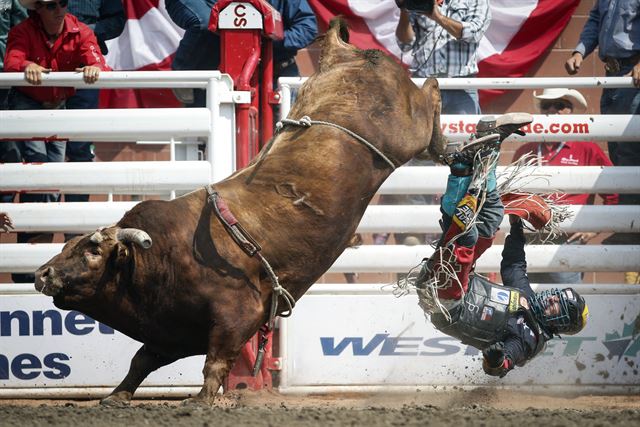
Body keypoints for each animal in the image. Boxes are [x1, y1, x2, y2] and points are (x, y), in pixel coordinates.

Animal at [35, 20, 444, 406]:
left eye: (93, 249)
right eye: (67, 245)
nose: (43, 273)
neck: (156, 258)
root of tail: (347, 55)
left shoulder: (237, 314)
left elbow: (215, 361)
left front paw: (202, 399)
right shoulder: (170, 333)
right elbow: (141, 360)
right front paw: (117, 395)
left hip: (408, 130)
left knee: (431, 94)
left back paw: (442, 137)